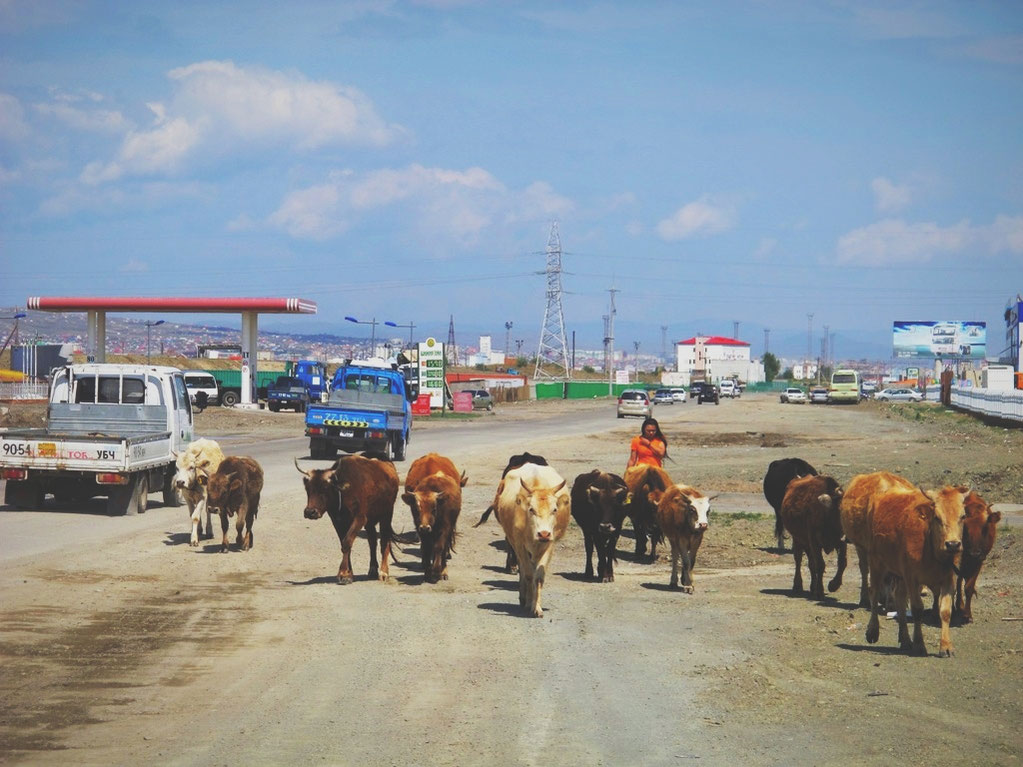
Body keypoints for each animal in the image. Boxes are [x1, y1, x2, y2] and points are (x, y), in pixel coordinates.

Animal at [296, 454, 398, 584]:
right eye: (307, 489)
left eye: (325, 488)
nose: (310, 512)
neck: (343, 493)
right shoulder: (337, 521)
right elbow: (344, 544)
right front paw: (348, 574)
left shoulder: (359, 518)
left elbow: (347, 542)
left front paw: (343, 573)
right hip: (370, 521)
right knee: (372, 541)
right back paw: (373, 570)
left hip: (387, 514)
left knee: (384, 540)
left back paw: (384, 572)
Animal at [401, 454, 468, 584]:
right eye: (417, 509)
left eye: (434, 509)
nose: (425, 527)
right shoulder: (421, 530)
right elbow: (427, 548)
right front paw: (428, 572)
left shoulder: (445, 528)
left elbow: (439, 547)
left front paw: (437, 572)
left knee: (443, 547)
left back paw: (443, 570)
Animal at [497, 462, 576, 617]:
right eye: (531, 509)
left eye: (555, 509)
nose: (543, 534)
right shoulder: (519, 544)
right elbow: (528, 574)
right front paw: (528, 603)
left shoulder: (549, 544)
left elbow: (538, 576)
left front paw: (537, 607)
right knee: (523, 568)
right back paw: (523, 598)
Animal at [863, 488, 965, 658]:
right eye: (937, 517)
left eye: (963, 516)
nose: (952, 544)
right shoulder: (912, 578)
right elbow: (917, 609)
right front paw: (919, 645)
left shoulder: (948, 579)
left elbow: (945, 611)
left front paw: (946, 647)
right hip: (876, 563)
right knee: (875, 593)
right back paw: (872, 632)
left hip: (900, 576)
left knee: (899, 599)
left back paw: (905, 640)